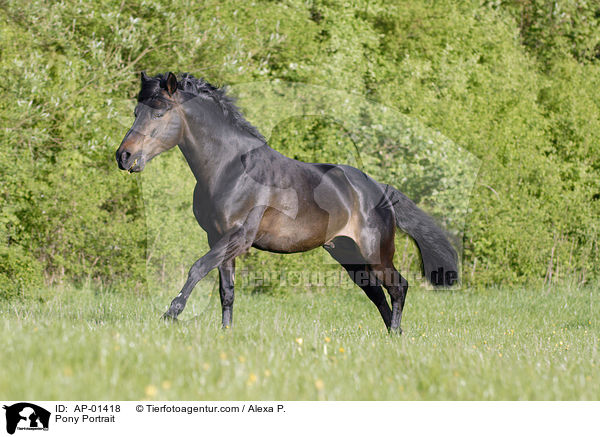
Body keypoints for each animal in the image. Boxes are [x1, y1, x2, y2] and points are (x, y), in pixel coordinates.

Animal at [115, 71, 458, 332]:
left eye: (159, 111)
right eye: (136, 112)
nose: (124, 156)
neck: (230, 168)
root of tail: (380, 190)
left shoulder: (239, 237)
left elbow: (197, 268)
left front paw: (171, 312)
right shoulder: (218, 237)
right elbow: (227, 291)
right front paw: (225, 332)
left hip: (375, 254)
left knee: (398, 288)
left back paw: (396, 334)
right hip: (348, 256)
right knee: (379, 296)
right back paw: (391, 336)